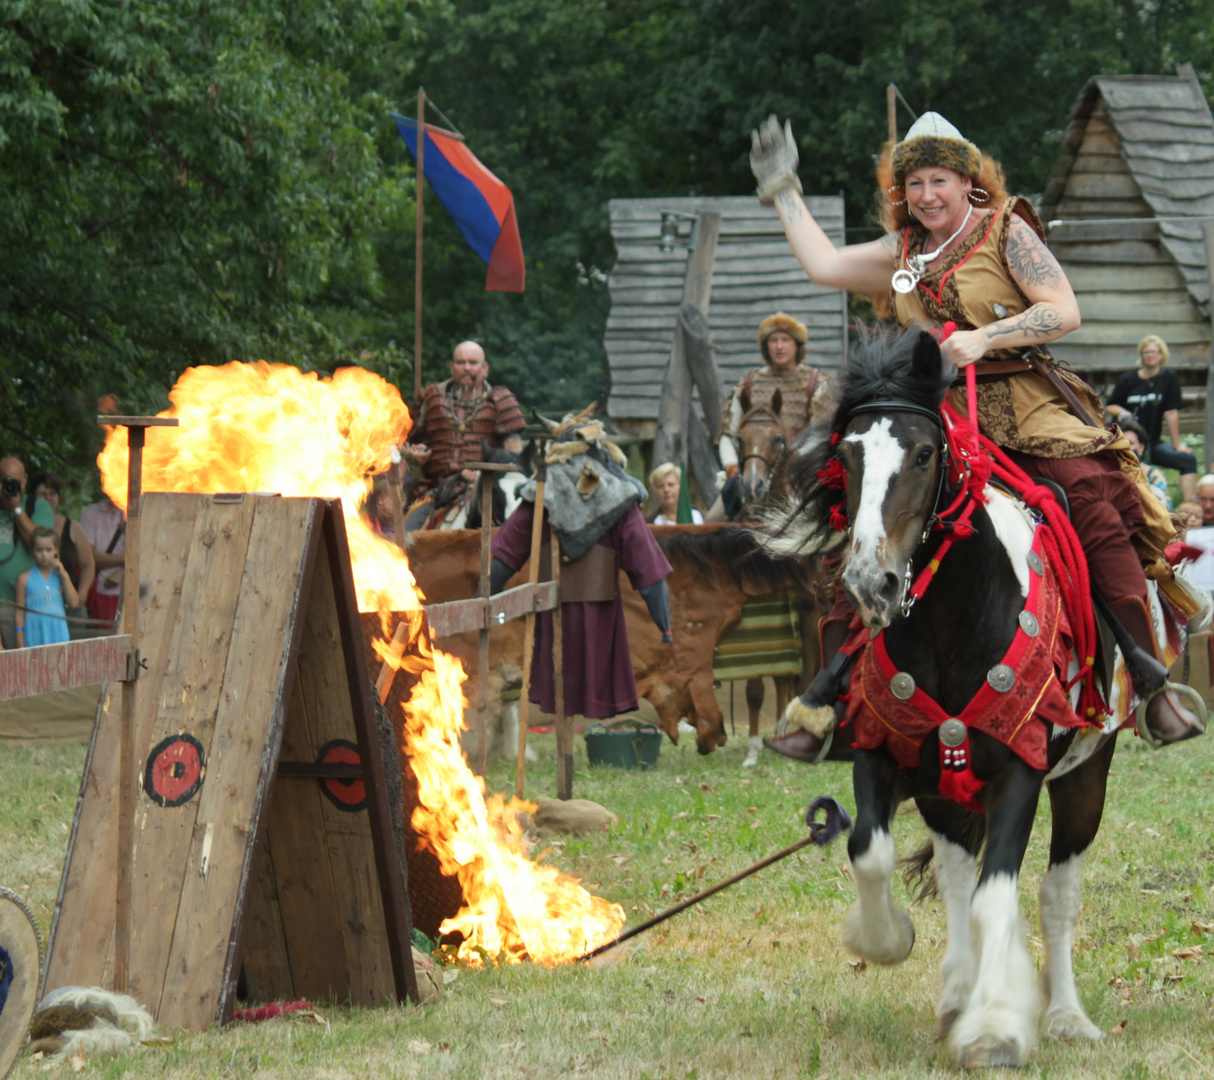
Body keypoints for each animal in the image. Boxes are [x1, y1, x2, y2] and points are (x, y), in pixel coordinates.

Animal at [762, 327, 1199, 1067]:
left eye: (925, 452)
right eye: (848, 456)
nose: (870, 582)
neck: (952, 620)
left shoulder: (1020, 767)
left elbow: (1003, 897)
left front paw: (997, 1025)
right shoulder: (882, 752)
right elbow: (872, 853)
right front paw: (888, 943)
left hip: (1085, 773)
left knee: (1055, 894)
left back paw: (1065, 1015)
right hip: (944, 787)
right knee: (958, 876)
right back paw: (959, 994)